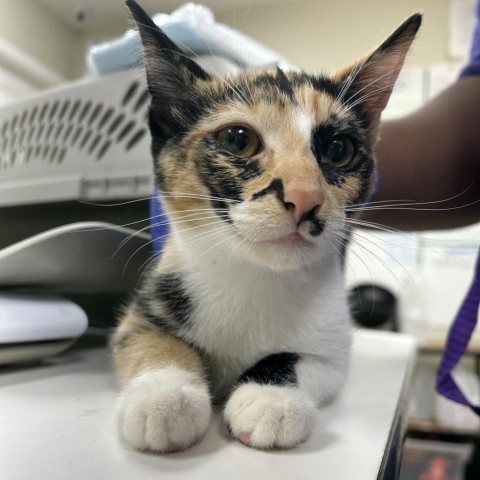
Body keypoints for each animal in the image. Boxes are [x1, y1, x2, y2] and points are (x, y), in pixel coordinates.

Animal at [113, 0, 420, 452]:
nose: (305, 197)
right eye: (238, 140)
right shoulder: (146, 305)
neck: (254, 277)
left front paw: (269, 399)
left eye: (338, 149)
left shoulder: (335, 348)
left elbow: (297, 358)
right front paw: (164, 395)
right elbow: (146, 337)